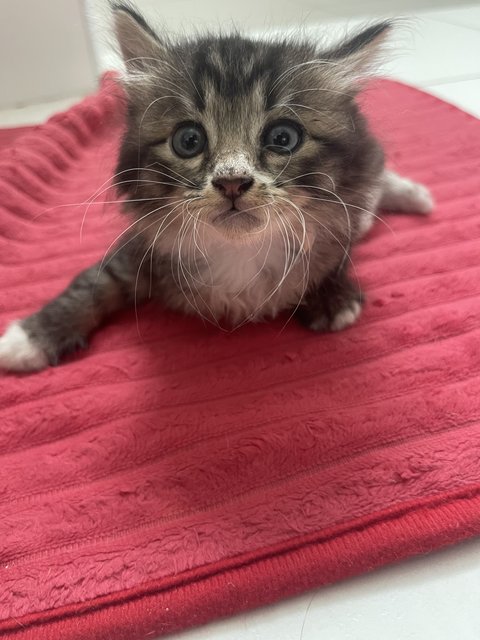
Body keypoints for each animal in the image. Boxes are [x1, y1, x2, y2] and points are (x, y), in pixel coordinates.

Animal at [0, 2, 434, 372]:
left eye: (283, 138)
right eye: (188, 140)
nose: (232, 181)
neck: (237, 253)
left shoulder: (341, 215)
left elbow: (338, 244)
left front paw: (332, 295)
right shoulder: (138, 248)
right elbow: (91, 283)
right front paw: (29, 339)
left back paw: (416, 196)